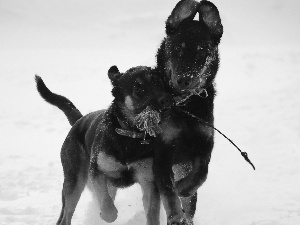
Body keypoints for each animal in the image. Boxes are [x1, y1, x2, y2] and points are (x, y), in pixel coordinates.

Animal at [34, 66, 175, 225]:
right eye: (138, 89)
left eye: (158, 82)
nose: (167, 99)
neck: (129, 136)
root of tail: (79, 121)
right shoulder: (97, 171)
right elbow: (107, 207)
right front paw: (106, 214)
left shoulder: (149, 181)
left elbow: (152, 213)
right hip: (74, 181)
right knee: (65, 216)